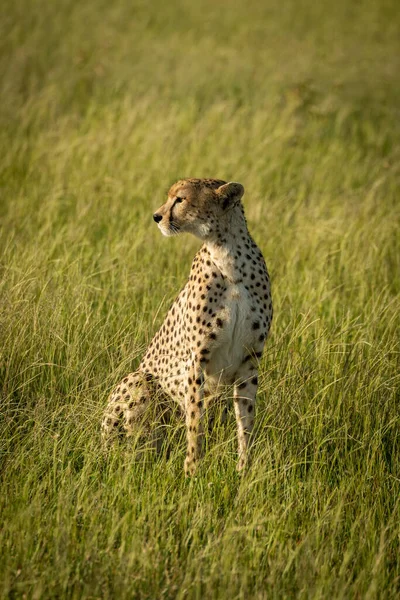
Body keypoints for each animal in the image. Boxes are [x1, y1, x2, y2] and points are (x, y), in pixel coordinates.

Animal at [101, 176, 274, 476]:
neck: (229, 258)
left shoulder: (250, 360)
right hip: (140, 381)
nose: (156, 216)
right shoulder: (196, 359)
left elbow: (246, 420)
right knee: (130, 449)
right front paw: (193, 470)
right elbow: (195, 418)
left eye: (180, 199)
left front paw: (244, 469)